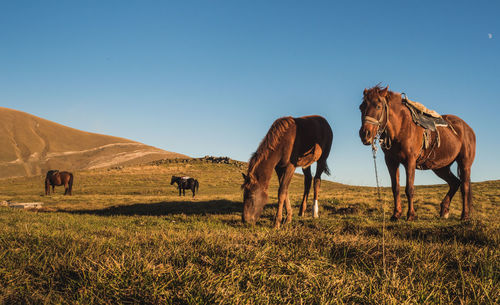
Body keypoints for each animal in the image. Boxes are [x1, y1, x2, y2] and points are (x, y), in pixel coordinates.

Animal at [360, 84, 476, 220]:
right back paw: (444, 211)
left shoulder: (410, 161)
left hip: (464, 164)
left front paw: (411, 215)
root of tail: (468, 129)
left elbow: (409, 189)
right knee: (455, 183)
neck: (401, 127)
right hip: (441, 167)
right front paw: (396, 214)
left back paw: (465, 216)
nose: (365, 134)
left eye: (378, 106)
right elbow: (396, 188)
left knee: (464, 187)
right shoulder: (391, 162)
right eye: (361, 107)